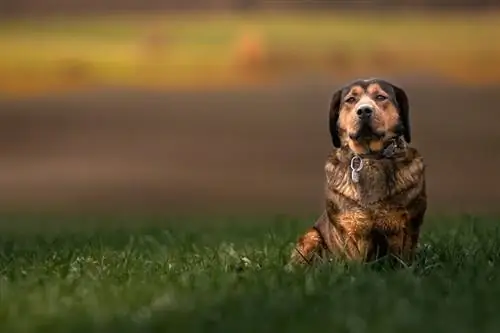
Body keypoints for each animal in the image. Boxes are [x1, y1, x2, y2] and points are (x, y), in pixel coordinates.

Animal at [292, 78, 428, 268]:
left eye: (380, 97)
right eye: (350, 100)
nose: (364, 110)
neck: (371, 157)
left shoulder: (407, 224)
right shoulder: (352, 228)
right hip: (310, 237)